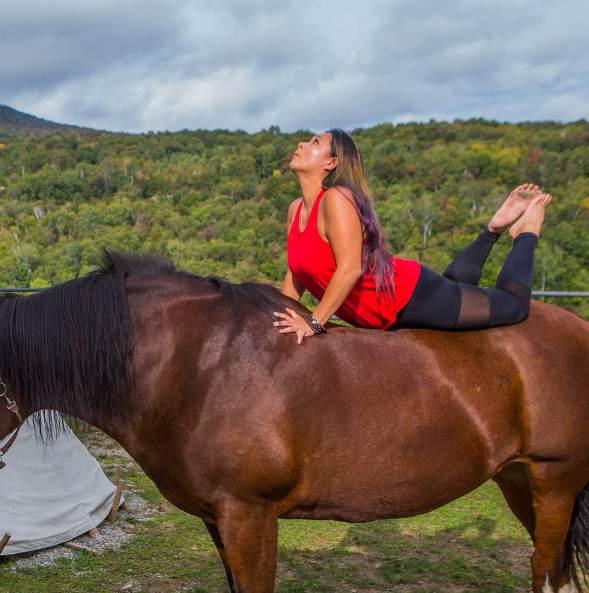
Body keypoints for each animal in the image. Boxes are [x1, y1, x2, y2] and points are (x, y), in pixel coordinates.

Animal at [1, 251, 588, 592]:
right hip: (518, 478)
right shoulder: (218, 519)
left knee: (545, 572)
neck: (196, 364)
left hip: (556, 479)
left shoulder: (250, 517)